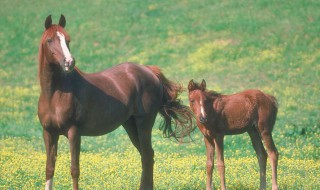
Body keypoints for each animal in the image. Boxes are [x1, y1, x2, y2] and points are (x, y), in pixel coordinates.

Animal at [37, 14, 192, 190]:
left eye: (67, 40)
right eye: (50, 40)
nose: (69, 62)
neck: (56, 94)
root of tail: (149, 70)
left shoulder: (74, 132)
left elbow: (74, 170)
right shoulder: (49, 133)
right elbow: (49, 169)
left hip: (144, 124)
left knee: (147, 156)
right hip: (130, 125)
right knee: (146, 156)